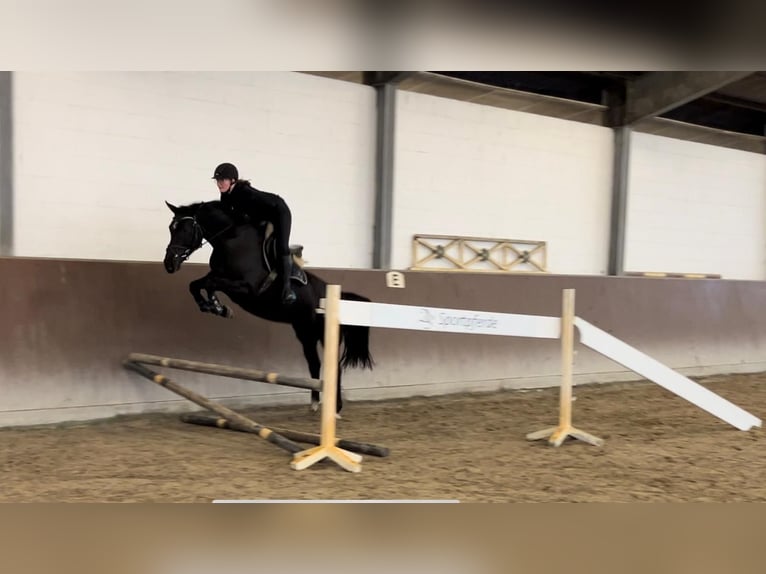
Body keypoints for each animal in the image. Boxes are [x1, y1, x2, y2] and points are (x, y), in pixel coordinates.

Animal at [162, 199, 374, 414]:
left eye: (185, 229)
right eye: (171, 228)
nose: (169, 264)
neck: (231, 241)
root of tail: (338, 297)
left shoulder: (247, 288)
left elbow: (210, 284)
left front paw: (217, 306)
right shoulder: (220, 277)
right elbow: (197, 284)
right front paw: (214, 307)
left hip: (323, 333)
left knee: (334, 367)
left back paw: (336, 408)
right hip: (305, 332)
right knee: (314, 363)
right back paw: (314, 403)